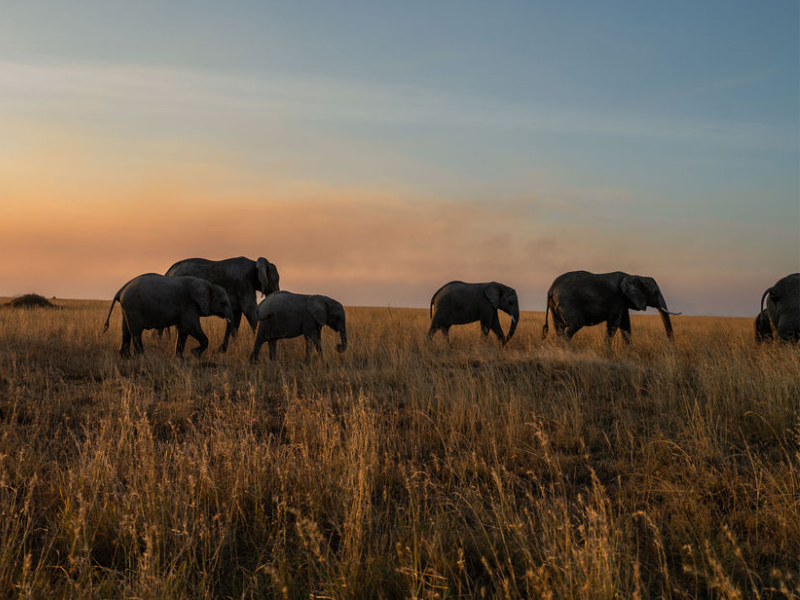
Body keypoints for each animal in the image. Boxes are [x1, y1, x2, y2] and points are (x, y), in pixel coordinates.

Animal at [103, 274, 234, 357]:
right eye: (223, 303)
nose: (220, 350)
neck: (208, 284)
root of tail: (121, 291)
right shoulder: (189, 305)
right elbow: (190, 327)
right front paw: (194, 354)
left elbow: (182, 331)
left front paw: (180, 358)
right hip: (133, 306)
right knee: (136, 333)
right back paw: (141, 357)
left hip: (127, 308)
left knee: (125, 331)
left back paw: (125, 357)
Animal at [542, 271, 680, 343]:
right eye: (655, 292)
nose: (671, 345)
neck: (635, 276)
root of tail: (550, 289)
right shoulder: (617, 299)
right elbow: (614, 324)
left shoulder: (623, 302)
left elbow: (625, 325)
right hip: (567, 302)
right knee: (575, 324)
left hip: (555, 305)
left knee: (559, 327)